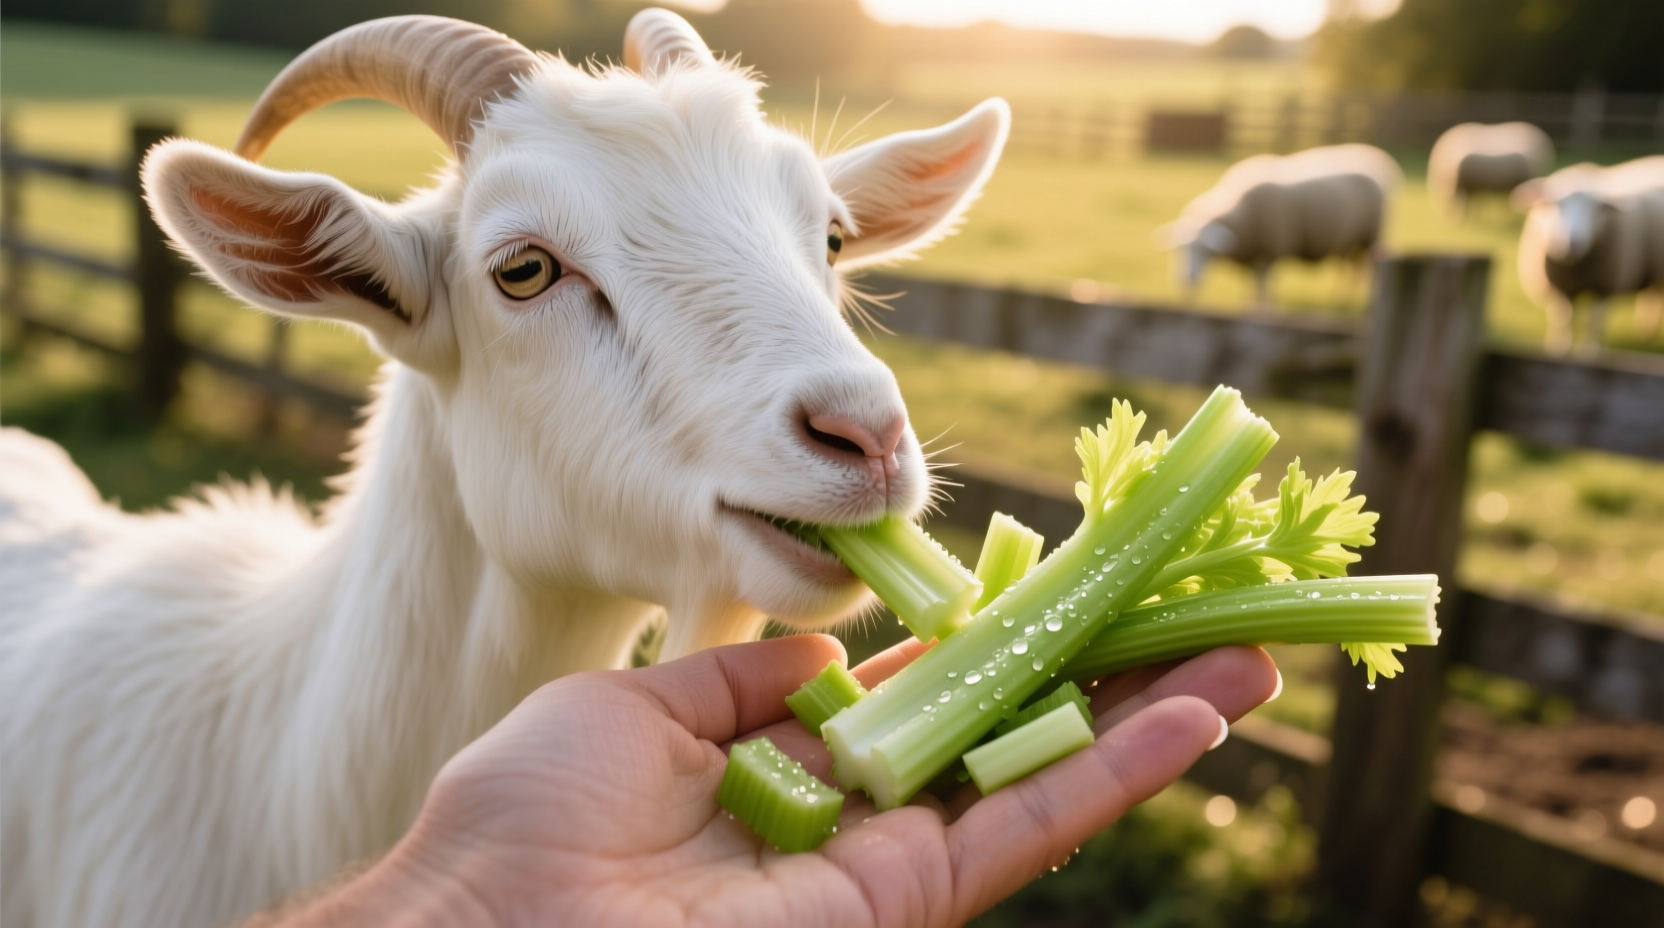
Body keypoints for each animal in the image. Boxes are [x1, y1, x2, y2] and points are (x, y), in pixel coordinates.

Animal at [1160, 143, 1401, 312]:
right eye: (1179, 250)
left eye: (1205, 250)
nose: (1186, 280)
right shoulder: (1251, 254)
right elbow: (1249, 285)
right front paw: (1246, 305)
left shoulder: (1269, 252)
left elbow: (1262, 287)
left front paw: (1261, 310)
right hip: (1352, 239)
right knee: (1354, 267)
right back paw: (1342, 298)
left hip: (1372, 235)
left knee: (1373, 269)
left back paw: (1369, 301)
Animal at [1513, 156, 1664, 353]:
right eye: (1551, 203)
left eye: (1598, 208)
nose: (1569, 243)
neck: (1577, 270)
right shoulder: (1560, 288)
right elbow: (1564, 322)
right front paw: (1559, 350)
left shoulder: (1604, 286)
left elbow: (1594, 322)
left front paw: (1590, 352)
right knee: (1652, 296)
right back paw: (1646, 332)